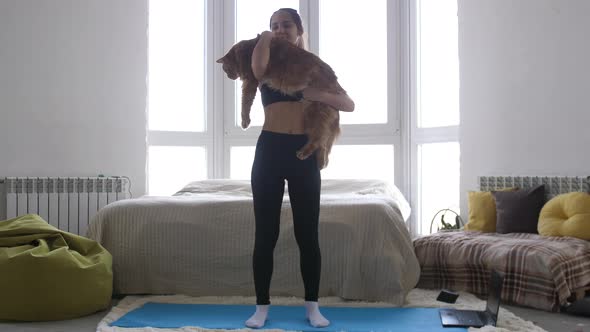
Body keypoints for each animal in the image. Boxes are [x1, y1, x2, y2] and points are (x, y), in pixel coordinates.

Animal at [217, 35, 346, 169]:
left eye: (225, 69)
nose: (230, 77)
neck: (244, 50)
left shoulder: (250, 81)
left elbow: (245, 103)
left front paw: (245, 122)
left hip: (316, 112)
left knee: (318, 139)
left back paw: (304, 153)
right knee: (323, 142)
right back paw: (320, 162)